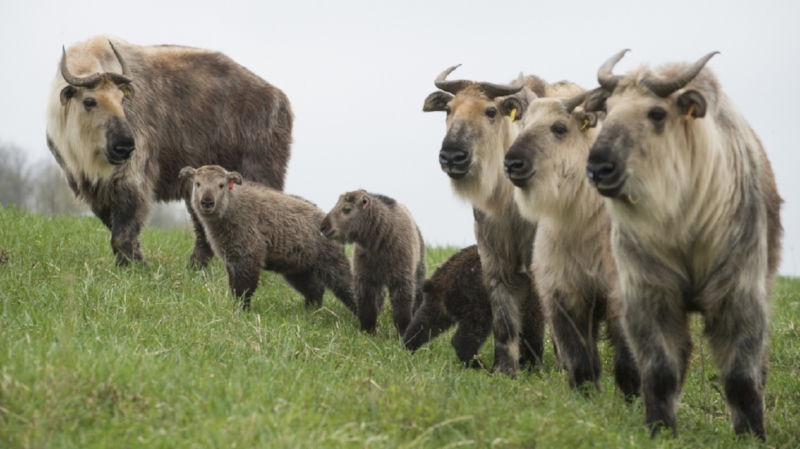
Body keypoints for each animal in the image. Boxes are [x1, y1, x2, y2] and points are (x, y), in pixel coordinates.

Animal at [183, 164, 358, 312]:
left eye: (221, 185)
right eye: (197, 183)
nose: (207, 202)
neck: (231, 207)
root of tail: (329, 223)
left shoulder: (248, 256)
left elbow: (243, 290)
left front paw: (242, 312)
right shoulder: (231, 259)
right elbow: (234, 288)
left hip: (332, 264)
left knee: (348, 287)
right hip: (298, 270)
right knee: (314, 290)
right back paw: (310, 312)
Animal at [322, 190, 428, 336]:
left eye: (347, 209)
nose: (323, 226)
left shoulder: (402, 278)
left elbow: (402, 308)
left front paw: (403, 332)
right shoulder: (365, 279)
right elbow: (368, 307)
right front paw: (368, 331)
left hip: (418, 268)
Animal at [504, 90, 640, 396]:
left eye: (559, 128)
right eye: (523, 124)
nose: (512, 164)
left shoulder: (619, 296)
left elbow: (627, 360)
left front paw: (633, 400)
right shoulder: (564, 295)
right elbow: (579, 357)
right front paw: (585, 396)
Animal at [580, 49, 780, 438]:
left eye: (657, 114)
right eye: (608, 109)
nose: (598, 168)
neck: (681, 222)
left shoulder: (738, 293)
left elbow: (740, 375)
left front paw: (752, 434)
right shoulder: (648, 294)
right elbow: (660, 370)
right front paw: (659, 429)